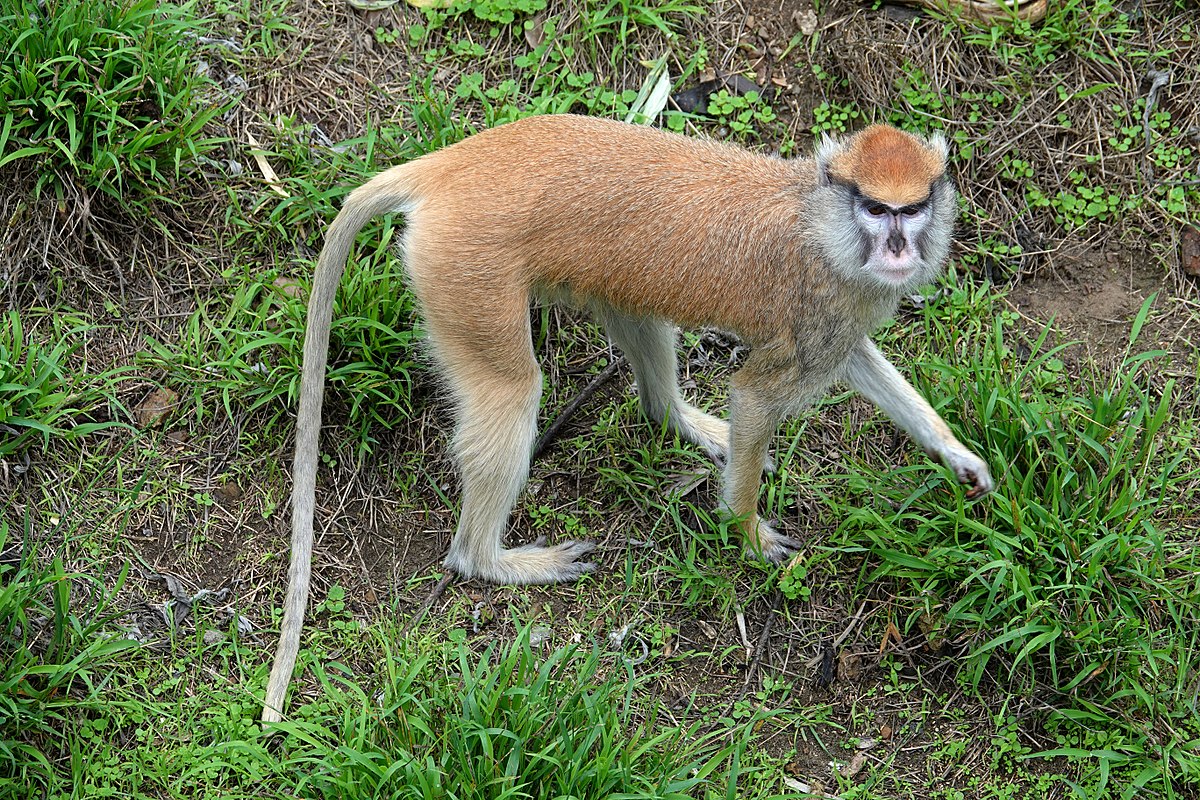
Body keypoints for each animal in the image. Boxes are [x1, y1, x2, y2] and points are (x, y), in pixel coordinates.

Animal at [262, 112, 993, 719]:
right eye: (875, 208)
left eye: (913, 207)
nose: (898, 249)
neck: (819, 219)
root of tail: (453, 164)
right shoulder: (819, 306)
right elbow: (757, 396)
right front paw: (748, 534)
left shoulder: (843, 312)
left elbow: (859, 361)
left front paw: (959, 456)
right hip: (465, 275)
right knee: (511, 392)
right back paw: (490, 560)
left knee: (639, 319)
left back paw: (680, 420)